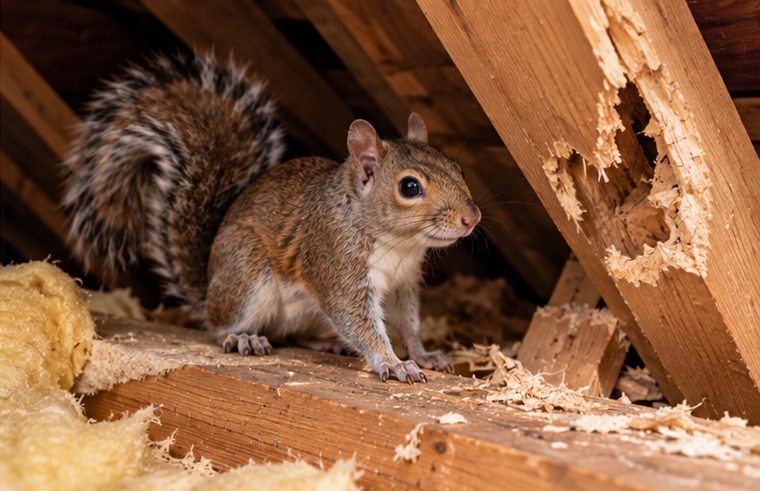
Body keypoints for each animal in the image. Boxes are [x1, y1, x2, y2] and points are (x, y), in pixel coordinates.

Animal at [62, 52, 481, 383]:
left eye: (457, 168)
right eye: (409, 187)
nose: (471, 218)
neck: (397, 244)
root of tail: (209, 288)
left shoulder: (403, 284)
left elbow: (408, 323)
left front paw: (422, 354)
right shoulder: (337, 264)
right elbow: (358, 320)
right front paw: (393, 363)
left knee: (292, 333)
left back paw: (326, 343)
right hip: (248, 273)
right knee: (218, 325)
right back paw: (240, 336)